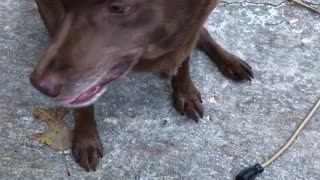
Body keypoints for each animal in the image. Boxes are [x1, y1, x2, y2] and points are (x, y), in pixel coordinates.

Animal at [31, 0, 254, 172]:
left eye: (118, 7)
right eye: (65, 3)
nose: (39, 84)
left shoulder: (195, 19)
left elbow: (185, 55)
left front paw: (185, 92)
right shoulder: (51, 12)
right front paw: (86, 138)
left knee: (203, 34)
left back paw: (231, 62)